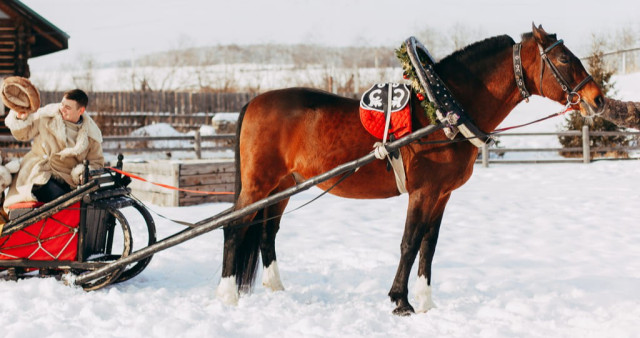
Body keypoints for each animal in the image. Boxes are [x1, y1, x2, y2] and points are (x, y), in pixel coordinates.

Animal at [216, 24, 604, 316]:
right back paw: (227, 295)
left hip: (283, 186)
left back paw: (276, 288)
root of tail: (254, 101)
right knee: (234, 228)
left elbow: (429, 245)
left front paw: (427, 301)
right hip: (259, 185)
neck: (442, 112)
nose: (597, 99)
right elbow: (409, 242)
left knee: (267, 231)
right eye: (564, 58)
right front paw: (400, 301)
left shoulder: (442, 195)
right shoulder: (423, 192)